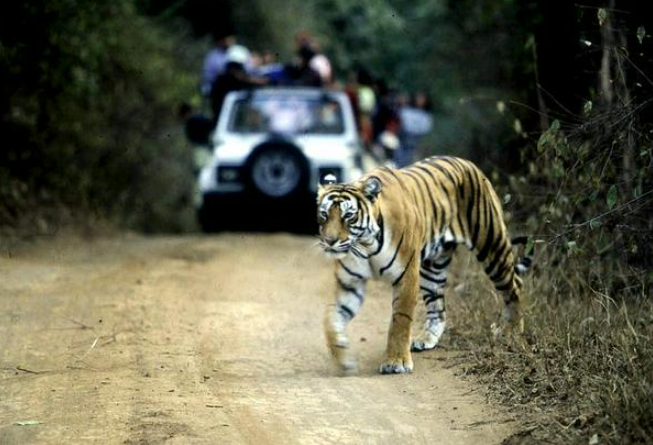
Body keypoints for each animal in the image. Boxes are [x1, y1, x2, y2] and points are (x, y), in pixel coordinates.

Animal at [318, 154, 536, 372]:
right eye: (324, 214)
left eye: (349, 215)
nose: (329, 241)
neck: (365, 244)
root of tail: (467, 162)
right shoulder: (350, 284)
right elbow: (331, 318)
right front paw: (343, 358)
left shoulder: (406, 276)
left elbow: (400, 320)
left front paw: (396, 362)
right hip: (433, 268)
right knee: (438, 307)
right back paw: (426, 340)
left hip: (492, 246)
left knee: (515, 285)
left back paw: (512, 332)